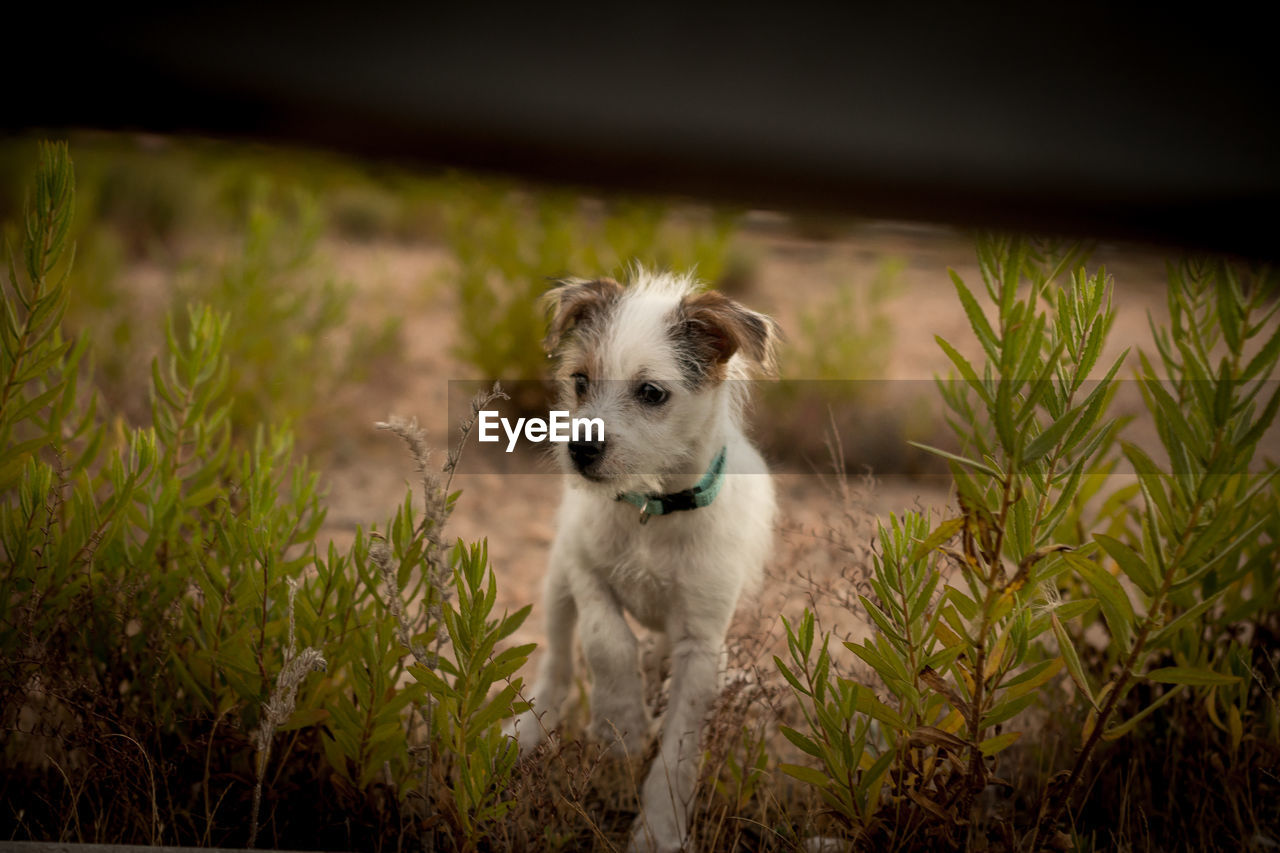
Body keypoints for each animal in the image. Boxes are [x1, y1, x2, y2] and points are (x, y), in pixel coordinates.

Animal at [504, 268, 773, 850]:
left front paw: (661, 828)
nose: (580, 449)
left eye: (651, 393)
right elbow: (607, 640)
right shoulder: (584, 568)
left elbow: (679, 749)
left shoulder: (700, 645)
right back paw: (524, 733)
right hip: (556, 585)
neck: (653, 508)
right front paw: (621, 725)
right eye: (580, 382)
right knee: (558, 670)